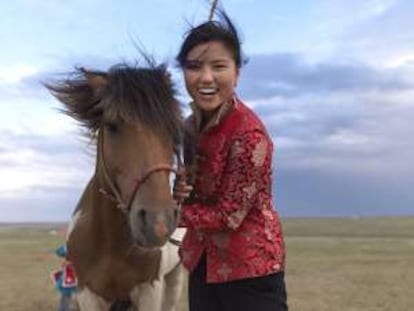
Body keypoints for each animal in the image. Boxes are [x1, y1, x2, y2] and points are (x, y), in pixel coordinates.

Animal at [46, 63, 185, 311]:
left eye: (173, 130)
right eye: (112, 126)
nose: (157, 222)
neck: (110, 243)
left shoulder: (150, 289)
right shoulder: (87, 293)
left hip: (174, 278)